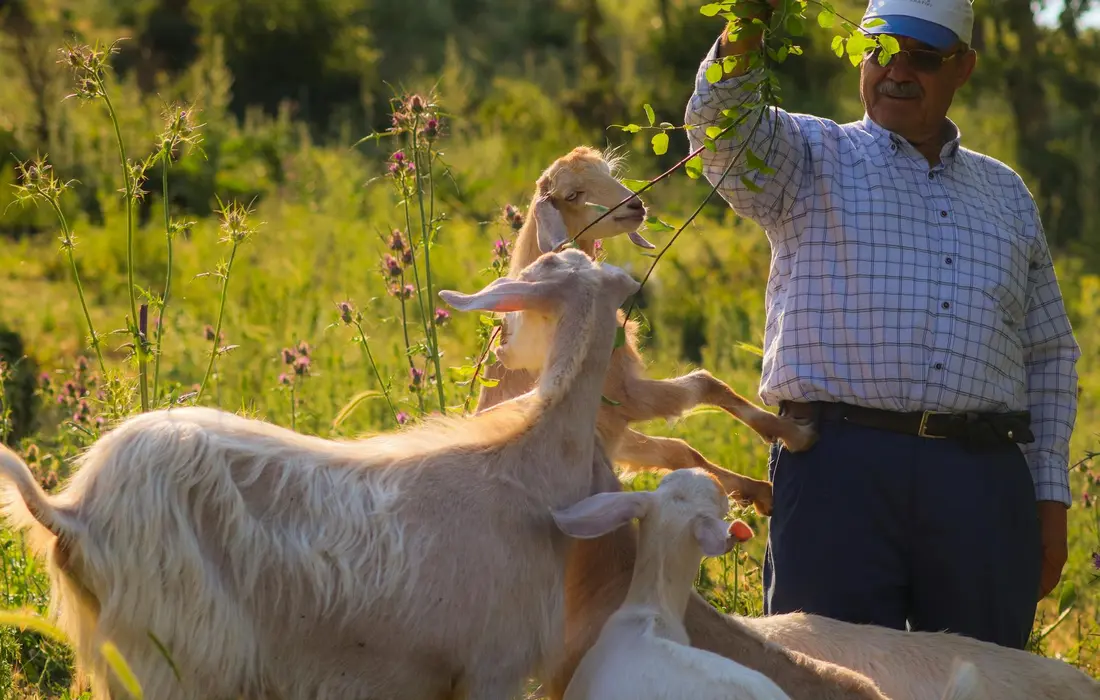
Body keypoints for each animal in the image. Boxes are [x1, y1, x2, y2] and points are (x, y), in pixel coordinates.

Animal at [478, 145, 817, 517]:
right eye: (572, 195)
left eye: (609, 173)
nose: (634, 206)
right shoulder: (621, 394)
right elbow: (704, 383)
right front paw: (793, 435)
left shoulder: (614, 426)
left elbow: (678, 449)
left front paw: (757, 492)